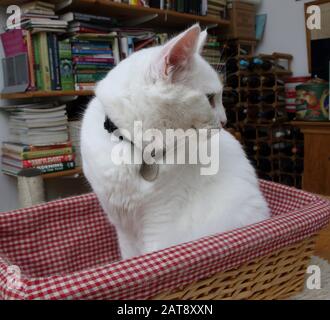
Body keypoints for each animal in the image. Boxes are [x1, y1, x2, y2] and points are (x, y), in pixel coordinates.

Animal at [80, 25, 270, 260]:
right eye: (210, 98)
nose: (225, 121)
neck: (136, 149)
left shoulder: (160, 221)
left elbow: (154, 254)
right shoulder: (123, 228)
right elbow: (130, 257)